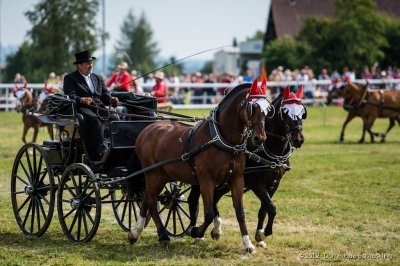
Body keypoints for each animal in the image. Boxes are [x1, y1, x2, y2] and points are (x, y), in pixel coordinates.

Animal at [130, 81, 268, 254]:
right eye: (252, 107)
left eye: (268, 109)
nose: (260, 138)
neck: (221, 140)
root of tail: (147, 130)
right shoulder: (206, 181)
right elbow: (209, 213)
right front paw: (196, 231)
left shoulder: (236, 179)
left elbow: (240, 212)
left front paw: (247, 244)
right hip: (152, 174)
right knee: (151, 201)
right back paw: (162, 236)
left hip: (161, 176)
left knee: (147, 198)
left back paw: (135, 233)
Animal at [188, 84, 306, 247]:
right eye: (285, 112)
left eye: (302, 112)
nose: (298, 139)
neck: (270, 148)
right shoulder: (256, 183)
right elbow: (272, 207)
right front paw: (264, 233)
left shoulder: (274, 184)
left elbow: (265, 209)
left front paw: (260, 236)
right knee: (195, 200)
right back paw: (198, 231)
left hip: (225, 182)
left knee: (215, 197)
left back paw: (216, 229)